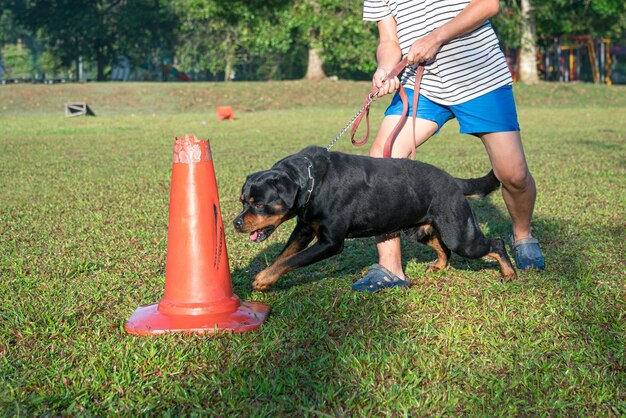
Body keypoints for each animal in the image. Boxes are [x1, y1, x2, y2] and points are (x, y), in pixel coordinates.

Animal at [232, 145, 516, 290]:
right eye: (243, 201)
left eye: (259, 204)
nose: (236, 222)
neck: (311, 184)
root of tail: (454, 181)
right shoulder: (303, 228)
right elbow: (285, 256)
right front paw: (267, 277)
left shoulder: (330, 242)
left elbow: (293, 260)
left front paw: (262, 279)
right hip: (420, 229)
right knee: (443, 247)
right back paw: (439, 266)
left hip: (460, 235)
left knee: (495, 244)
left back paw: (509, 273)